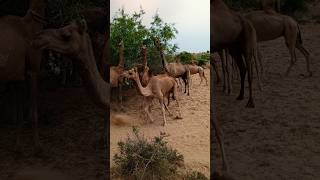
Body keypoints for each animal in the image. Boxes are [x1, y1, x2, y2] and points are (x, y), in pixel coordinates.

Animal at [0, 0, 44, 152]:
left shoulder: (17, 75)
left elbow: (18, 114)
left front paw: (17, 146)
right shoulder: (33, 70)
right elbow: (32, 114)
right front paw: (38, 147)